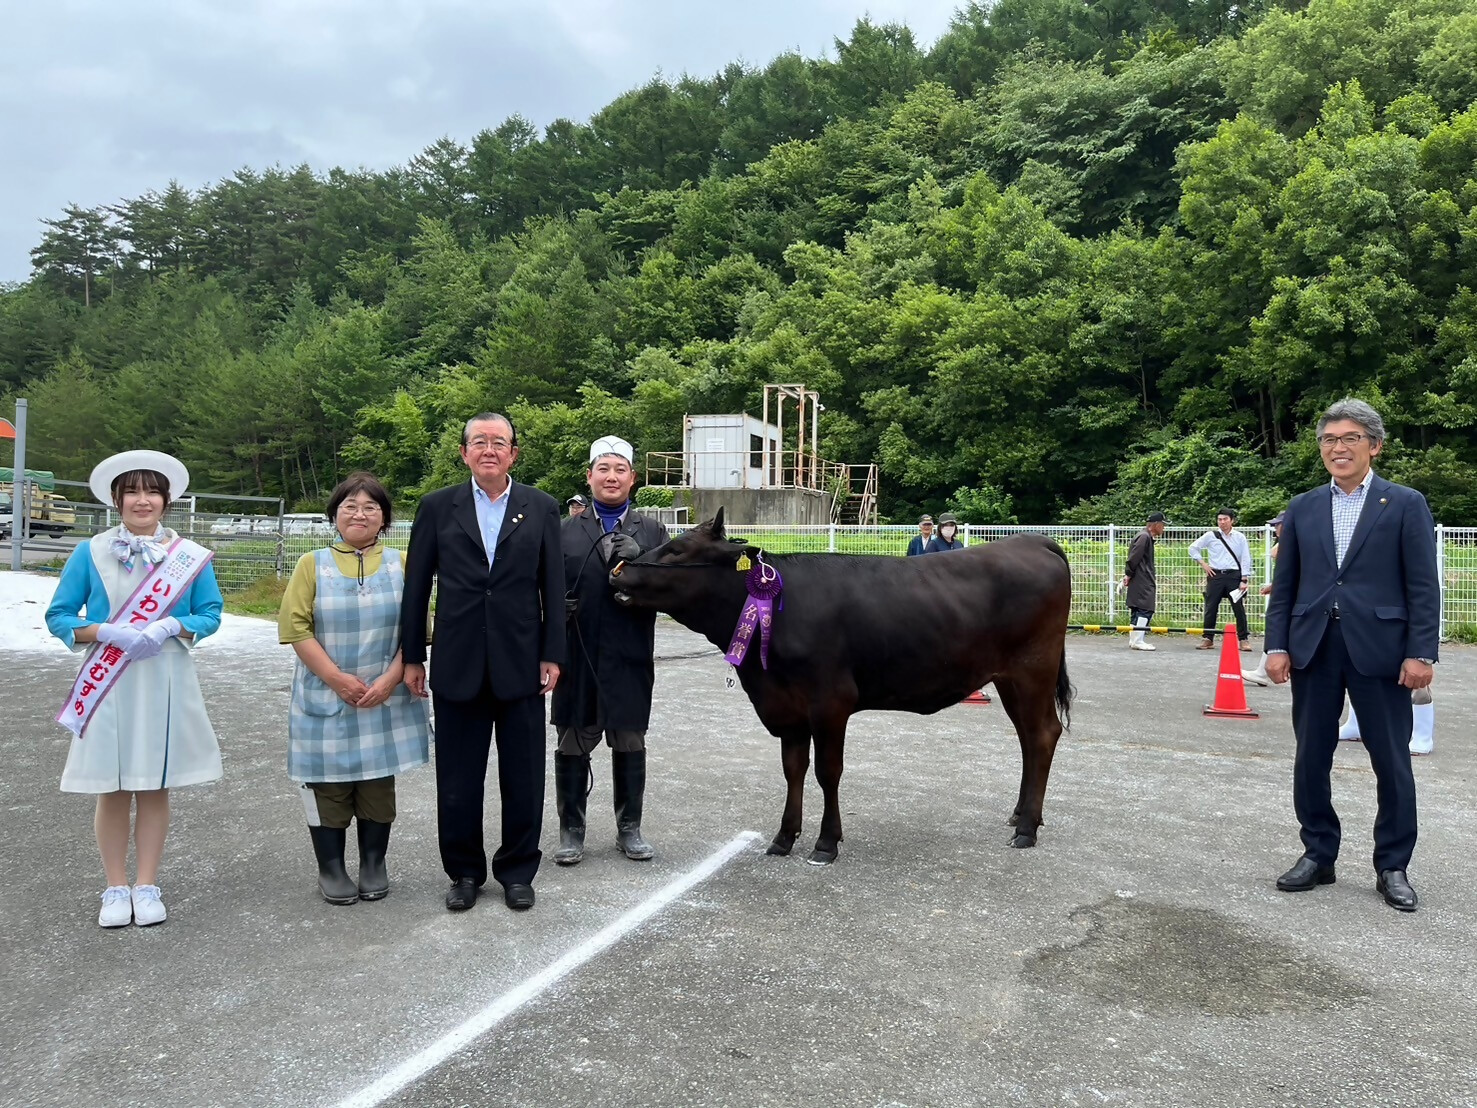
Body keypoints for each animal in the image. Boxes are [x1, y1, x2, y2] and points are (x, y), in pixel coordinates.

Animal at [609, 509, 1073, 865]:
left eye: (676, 550)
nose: (618, 571)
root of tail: (1033, 541)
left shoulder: (829, 701)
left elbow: (827, 771)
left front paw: (825, 842)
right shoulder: (787, 706)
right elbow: (793, 769)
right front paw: (784, 837)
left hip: (1033, 670)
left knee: (1043, 734)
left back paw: (1027, 828)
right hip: (1009, 678)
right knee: (1028, 738)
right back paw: (1020, 815)